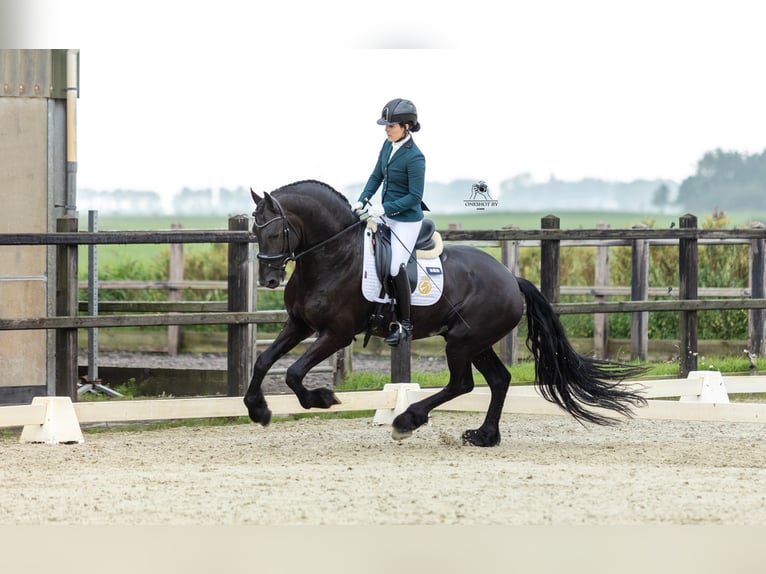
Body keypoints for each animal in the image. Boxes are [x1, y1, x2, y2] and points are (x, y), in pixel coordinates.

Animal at [246, 182, 648, 448]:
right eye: (254, 231)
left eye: (276, 232)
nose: (269, 279)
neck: (333, 257)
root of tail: (511, 278)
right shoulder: (299, 324)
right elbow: (264, 361)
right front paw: (258, 410)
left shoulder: (336, 334)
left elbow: (294, 373)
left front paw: (322, 398)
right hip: (476, 342)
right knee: (498, 380)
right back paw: (485, 436)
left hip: (461, 342)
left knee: (462, 384)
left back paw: (408, 419)